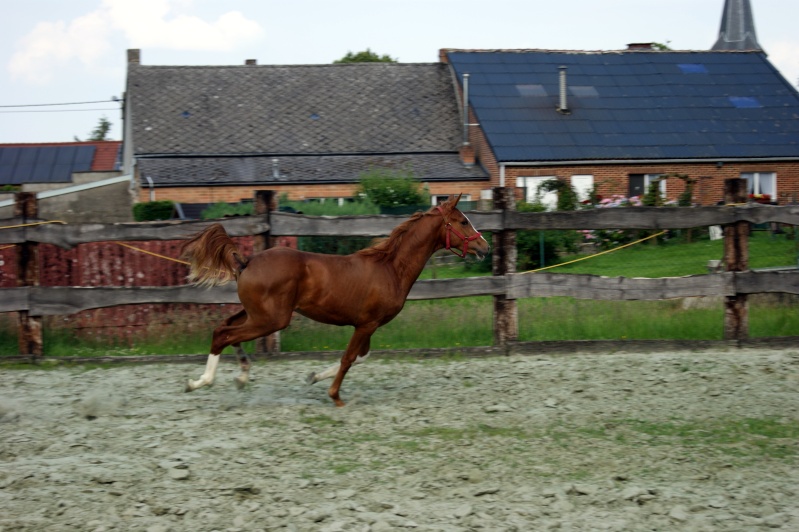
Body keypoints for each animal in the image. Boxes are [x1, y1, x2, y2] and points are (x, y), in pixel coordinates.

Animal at [182, 195, 490, 408]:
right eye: (463, 221)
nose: (484, 247)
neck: (390, 269)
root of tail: (247, 261)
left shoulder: (367, 325)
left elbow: (360, 357)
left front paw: (314, 376)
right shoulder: (367, 324)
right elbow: (349, 358)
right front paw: (335, 396)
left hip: (255, 313)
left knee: (225, 328)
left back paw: (240, 377)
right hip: (271, 319)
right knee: (224, 334)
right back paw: (199, 382)